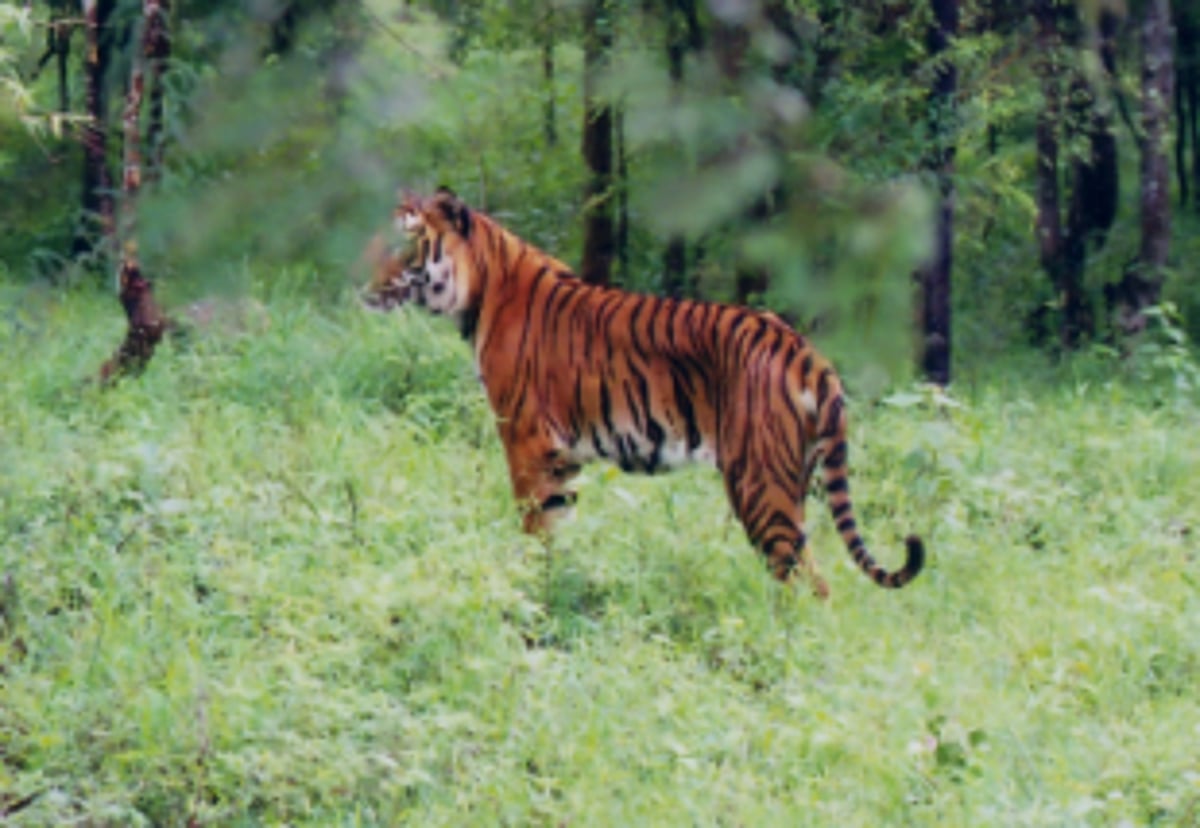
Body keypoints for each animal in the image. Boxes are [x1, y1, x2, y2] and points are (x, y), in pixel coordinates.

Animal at [362, 188, 924, 598]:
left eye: (405, 243)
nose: (361, 283)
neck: (480, 290)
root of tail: (803, 350)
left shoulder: (525, 440)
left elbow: (534, 531)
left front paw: (528, 593)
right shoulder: (562, 458)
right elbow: (558, 527)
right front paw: (557, 590)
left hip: (760, 484)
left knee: (808, 583)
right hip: (793, 479)